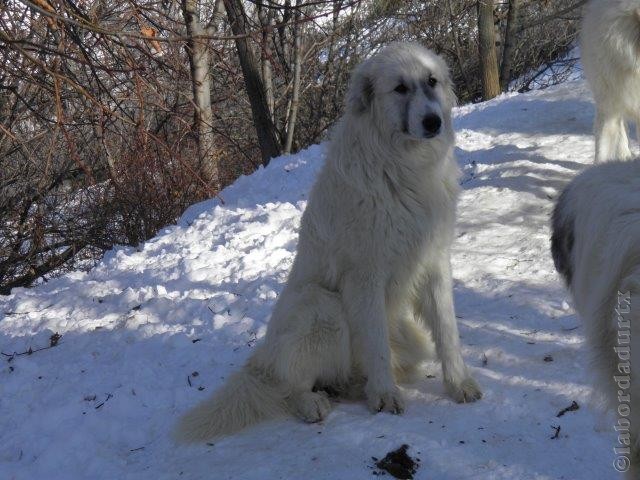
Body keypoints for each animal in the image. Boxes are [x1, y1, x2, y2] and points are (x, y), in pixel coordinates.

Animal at [174, 42, 480, 442]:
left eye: (432, 81)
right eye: (399, 88)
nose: (433, 122)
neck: (405, 167)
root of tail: (261, 361)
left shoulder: (434, 263)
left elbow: (447, 332)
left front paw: (459, 384)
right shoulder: (364, 277)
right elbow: (376, 344)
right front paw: (385, 396)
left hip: (406, 336)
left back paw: (352, 387)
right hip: (322, 307)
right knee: (289, 387)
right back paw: (314, 403)